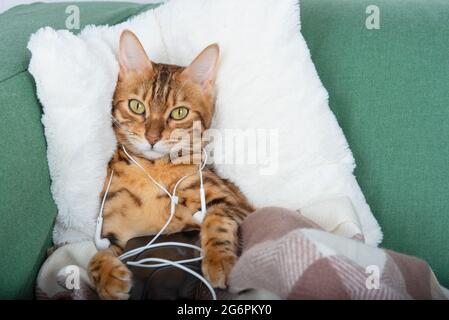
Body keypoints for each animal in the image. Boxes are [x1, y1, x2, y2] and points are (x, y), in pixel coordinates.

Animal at [87, 30, 254, 300]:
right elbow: (93, 256)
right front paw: (107, 275)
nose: (152, 137)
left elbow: (215, 217)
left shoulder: (237, 204)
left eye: (179, 112)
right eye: (136, 106)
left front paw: (219, 259)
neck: (152, 169)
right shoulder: (114, 232)